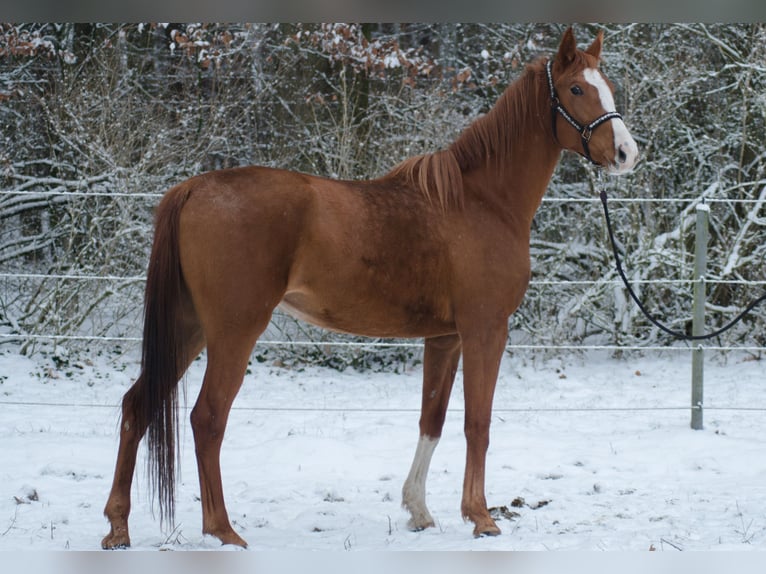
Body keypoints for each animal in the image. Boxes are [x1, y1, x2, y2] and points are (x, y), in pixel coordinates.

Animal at [103, 29, 640, 552]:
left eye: (608, 85)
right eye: (577, 89)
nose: (626, 153)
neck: (482, 200)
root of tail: (192, 188)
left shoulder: (445, 338)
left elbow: (432, 419)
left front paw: (419, 511)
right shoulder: (485, 330)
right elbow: (478, 423)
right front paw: (481, 518)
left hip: (188, 327)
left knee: (137, 406)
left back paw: (118, 528)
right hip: (234, 331)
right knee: (207, 417)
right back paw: (223, 531)